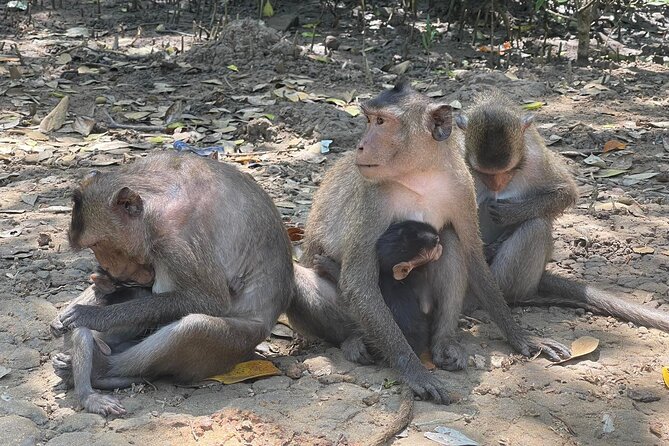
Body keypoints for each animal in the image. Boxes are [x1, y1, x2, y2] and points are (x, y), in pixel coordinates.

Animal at [316, 221, 440, 358]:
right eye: (417, 235)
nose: (436, 237)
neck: (389, 275)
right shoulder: (416, 278)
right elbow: (426, 306)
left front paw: (329, 266)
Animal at [454, 93, 668, 332]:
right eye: (483, 173)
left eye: (507, 170)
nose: (496, 185)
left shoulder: (537, 159)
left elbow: (566, 192)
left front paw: (512, 213)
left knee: (536, 227)